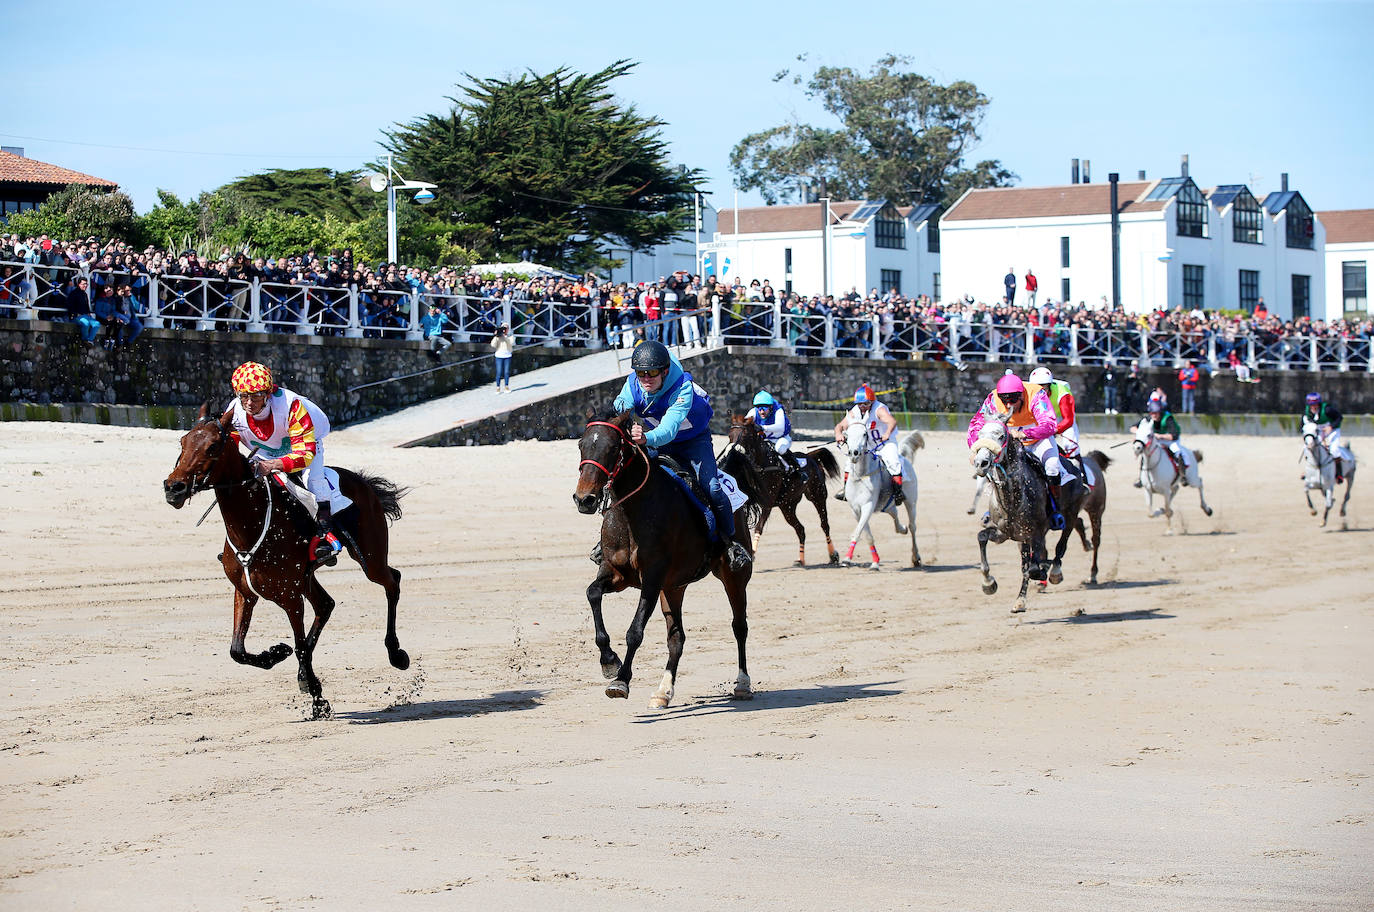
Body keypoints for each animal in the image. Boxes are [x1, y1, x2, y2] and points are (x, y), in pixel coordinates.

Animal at [162, 403, 406, 714]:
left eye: (213, 446)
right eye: (183, 442)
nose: (174, 487)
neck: (250, 524)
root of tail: (364, 482)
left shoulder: (290, 596)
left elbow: (299, 644)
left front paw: (317, 697)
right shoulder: (245, 591)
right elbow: (237, 650)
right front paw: (277, 653)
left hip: (370, 558)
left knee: (391, 581)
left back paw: (396, 653)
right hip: (306, 577)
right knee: (325, 604)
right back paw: (303, 673)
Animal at [571, 409, 763, 708]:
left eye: (613, 448)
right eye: (582, 445)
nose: (585, 499)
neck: (632, 512)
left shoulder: (651, 579)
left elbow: (635, 631)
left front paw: (621, 681)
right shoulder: (616, 573)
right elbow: (592, 594)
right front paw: (609, 661)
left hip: (734, 576)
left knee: (739, 626)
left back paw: (742, 683)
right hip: (673, 587)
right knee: (677, 638)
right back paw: (663, 691)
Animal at [725, 414, 840, 571]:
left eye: (746, 435)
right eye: (730, 435)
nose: (733, 453)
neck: (762, 466)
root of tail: (811, 457)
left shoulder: (767, 503)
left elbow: (759, 527)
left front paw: (752, 553)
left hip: (818, 496)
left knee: (824, 524)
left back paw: (833, 555)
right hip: (788, 507)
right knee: (800, 529)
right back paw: (800, 559)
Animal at [835, 420, 923, 571]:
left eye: (864, 434)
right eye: (846, 435)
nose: (854, 453)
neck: (861, 476)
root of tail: (902, 457)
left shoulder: (868, 506)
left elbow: (857, 532)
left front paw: (847, 559)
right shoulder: (856, 509)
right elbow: (866, 534)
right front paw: (874, 562)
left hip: (911, 502)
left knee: (912, 527)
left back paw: (915, 557)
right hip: (885, 504)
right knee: (895, 514)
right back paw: (902, 529)